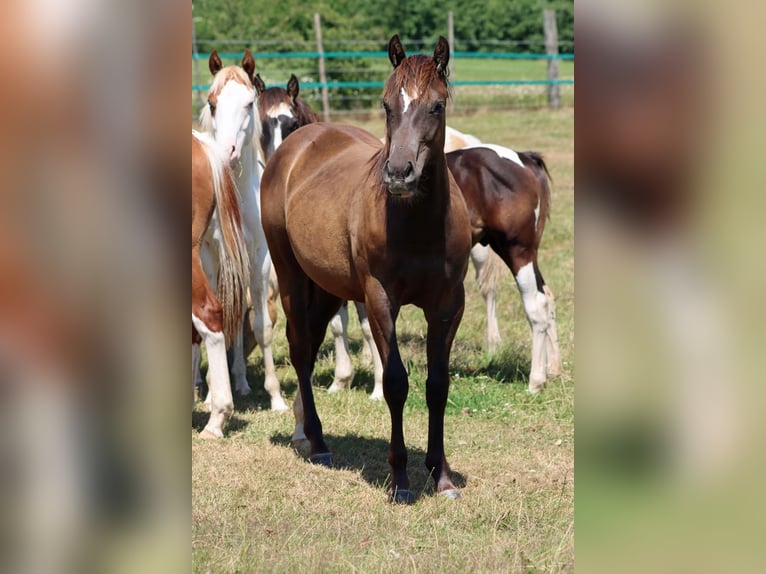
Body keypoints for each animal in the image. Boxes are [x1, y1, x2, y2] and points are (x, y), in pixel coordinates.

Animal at [198, 50, 288, 411]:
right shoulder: (212, 258)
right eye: (211, 103)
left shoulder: (259, 259)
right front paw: (211, 394)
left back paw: (241, 381)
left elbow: (261, 326)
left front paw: (276, 397)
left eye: (250, 103)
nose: (227, 153)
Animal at [252, 73, 384, 398]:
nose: (274, 162)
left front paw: (377, 386)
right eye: (261, 124)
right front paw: (341, 379)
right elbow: (338, 325)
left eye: (292, 122)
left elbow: (366, 325)